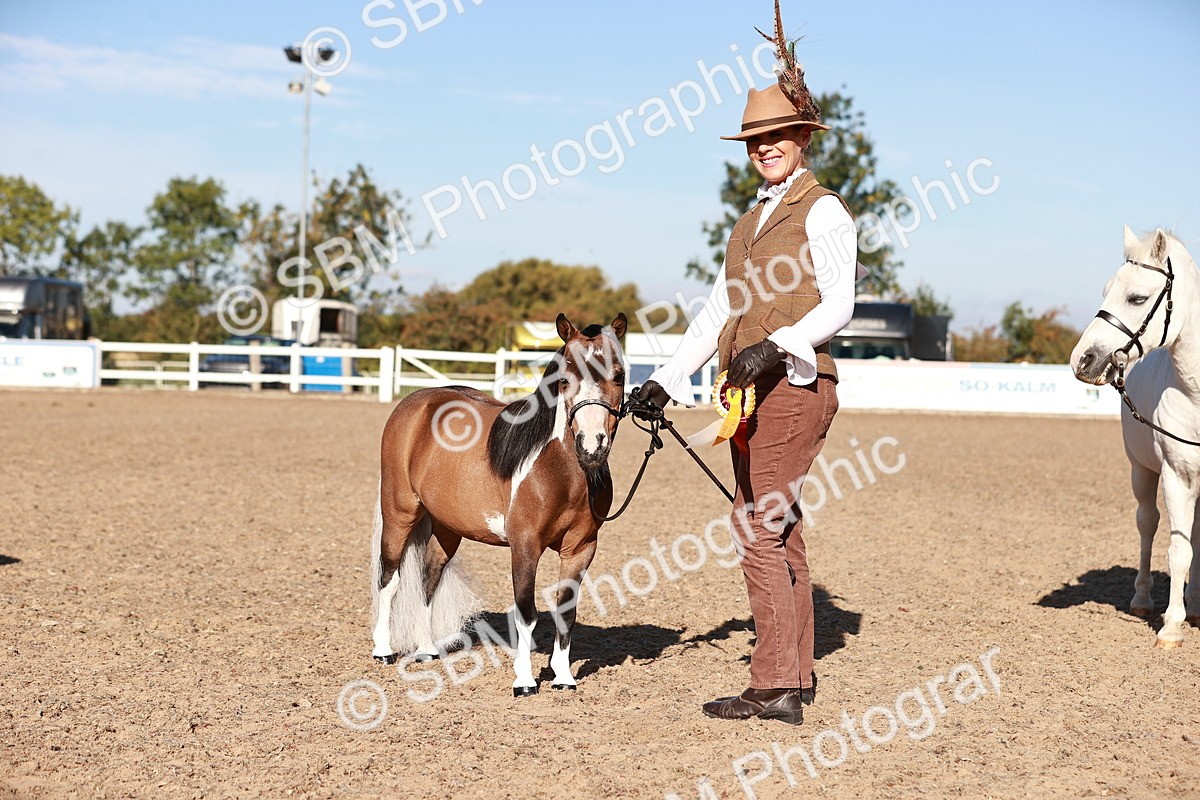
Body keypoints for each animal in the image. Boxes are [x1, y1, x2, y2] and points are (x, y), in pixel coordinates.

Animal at [370, 313, 628, 695]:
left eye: (619, 375)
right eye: (564, 380)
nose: (591, 445)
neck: (559, 472)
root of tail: (414, 403)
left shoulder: (581, 548)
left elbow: (566, 612)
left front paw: (563, 677)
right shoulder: (525, 546)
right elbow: (526, 612)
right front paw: (524, 680)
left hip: (447, 527)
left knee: (428, 579)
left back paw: (427, 649)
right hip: (399, 512)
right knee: (389, 578)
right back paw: (384, 650)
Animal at [1071, 226, 1200, 648]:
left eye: (1137, 298)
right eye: (1106, 289)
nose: (1082, 360)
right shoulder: (1177, 478)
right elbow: (1177, 550)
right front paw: (1171, 627)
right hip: (1142, 471)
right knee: (1149, 524)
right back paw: (1145, 600)